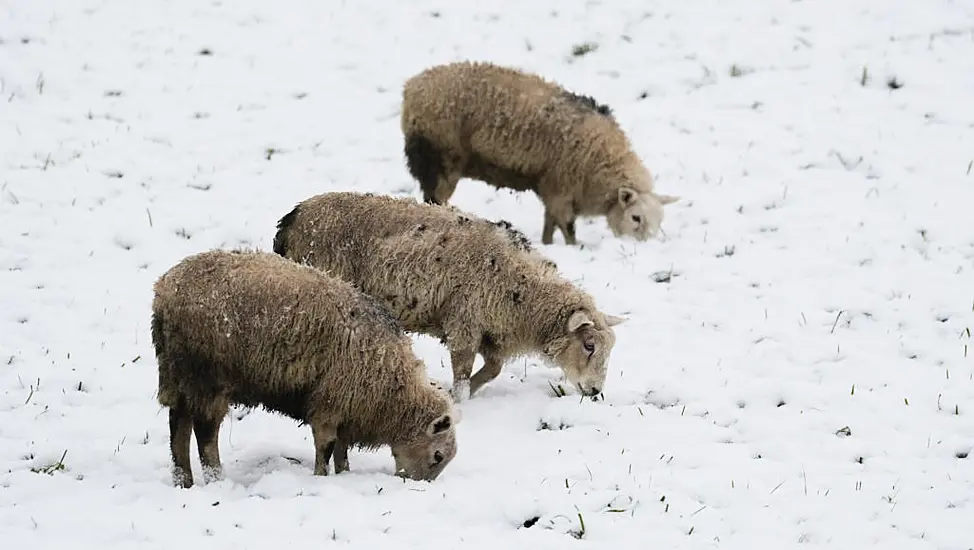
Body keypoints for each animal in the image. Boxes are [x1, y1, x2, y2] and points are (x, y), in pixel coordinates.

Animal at [150, 248, 462, 490]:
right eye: (437, 456)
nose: (417, 485)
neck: (392, 390)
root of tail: (164, 292)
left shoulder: (347, 408)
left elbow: (341, 450)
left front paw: (344, 473)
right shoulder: (329, 403)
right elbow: (326, 447)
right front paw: (321, 478)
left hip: (177, 374)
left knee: (178, 426)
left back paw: (184, 481)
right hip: (207, 376)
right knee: (204, 433)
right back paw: (216, 479)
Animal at [270, 192, 628, 404]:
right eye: (589, 345)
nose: (595, 392)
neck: (523, 293)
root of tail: (292, 218)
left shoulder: (491, 331)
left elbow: (493, 369)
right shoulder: (464, 323)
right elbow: (463, 372)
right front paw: (458, 399)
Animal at [400, 59, 684, 246]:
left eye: (660, 221)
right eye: (636, 217)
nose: (644, 248)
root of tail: (411, 88)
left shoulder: (553, 189)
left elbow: (550, 224)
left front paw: (547, 244)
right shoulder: (561, 190)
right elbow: (567, 228)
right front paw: (573, 248)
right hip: (440, 158)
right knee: (435, 197)